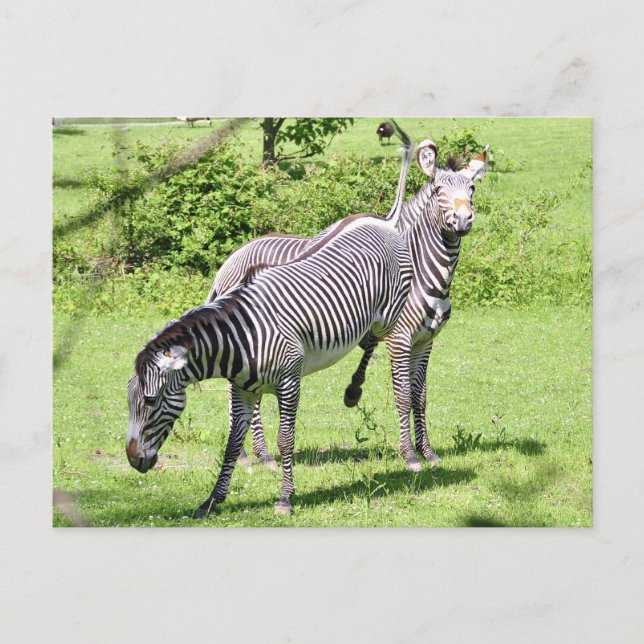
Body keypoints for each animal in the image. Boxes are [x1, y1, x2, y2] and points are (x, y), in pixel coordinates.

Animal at [126, 212, 414, 517]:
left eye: (151, 400)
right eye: (129, 401)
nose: (132, 459)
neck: (242, 339)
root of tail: (382, 220)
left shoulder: (289, 383)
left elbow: (285, 439)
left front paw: (285, 497)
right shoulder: (242, 390)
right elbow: (232, 443)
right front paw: (213, 500)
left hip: (387, 316)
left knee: (374, 340)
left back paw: (354, 391)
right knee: (369, 340)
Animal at [209, 138, 488, 471]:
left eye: (472, 188)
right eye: (437, 190)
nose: (462, 220)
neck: (423, 267)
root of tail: (232, 259)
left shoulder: (425, 341)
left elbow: (419, 397)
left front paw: (429, 452)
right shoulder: (399, 338)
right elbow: (403, 396)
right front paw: (409, 455)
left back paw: (249, 453)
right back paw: (257, 455)